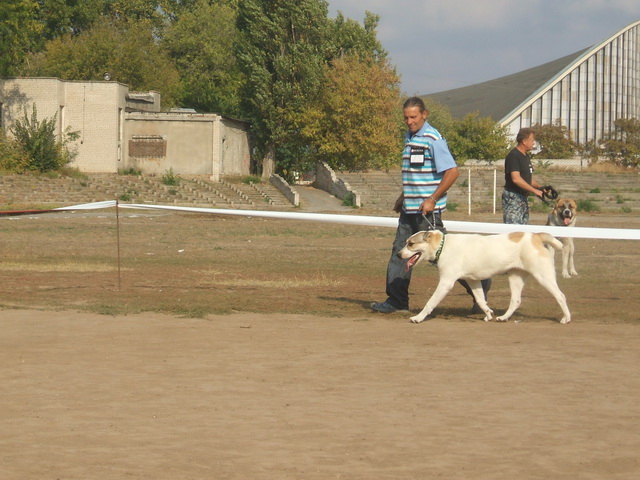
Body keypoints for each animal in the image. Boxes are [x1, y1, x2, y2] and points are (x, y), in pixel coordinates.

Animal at [398, 230, 571, 324]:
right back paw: (503, 318)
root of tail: (536, 235)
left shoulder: (446, 283)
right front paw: (488, 314)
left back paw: (566, 318)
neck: (442, 246)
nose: (398, 255)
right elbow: (481, 300)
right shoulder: (472, 281)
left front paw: (418, 318)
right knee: (515, 301)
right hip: (515, 278)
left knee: (561, 295)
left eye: (410, 244)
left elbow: (430, 302)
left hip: (543, 276)